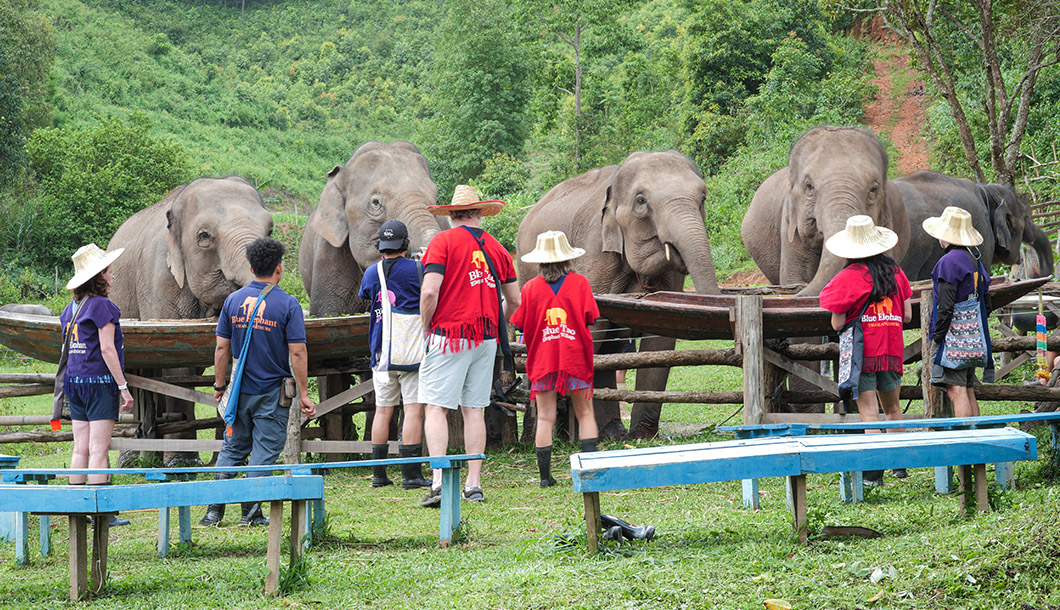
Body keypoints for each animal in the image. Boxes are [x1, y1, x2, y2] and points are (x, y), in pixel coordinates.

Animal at [108, 176, 273, 466]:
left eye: (271, 230)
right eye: (204, 237)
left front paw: (231, 460)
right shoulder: (160, 279)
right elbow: (176, 367)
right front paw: (182, 465)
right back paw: (135, 462)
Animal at [517, 150, 721, 439]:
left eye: (702, 197)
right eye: (641, 200)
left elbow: (661, 339)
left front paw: (642, 436)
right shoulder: (594, 251)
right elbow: (592, 329)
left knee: (610, 349)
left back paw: (612, 432)